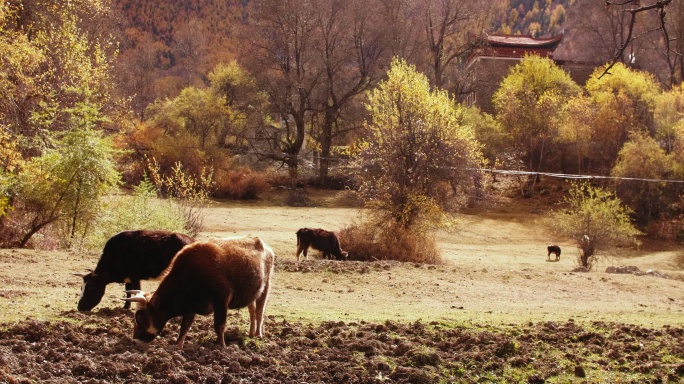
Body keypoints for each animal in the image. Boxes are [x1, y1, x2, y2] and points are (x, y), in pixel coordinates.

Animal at [124, 236, 274, 350]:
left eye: (140, 317)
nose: (134, 341)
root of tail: (262, 244)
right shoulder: (190, 307)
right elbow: (185, 326)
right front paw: (178, 345)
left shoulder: (221, 301)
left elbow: (219, 326)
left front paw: (222, 347)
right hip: (252, 293)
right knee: (252, 310)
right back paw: (251, 333)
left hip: (265, 287)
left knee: (259, 311)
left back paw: (258, 334)